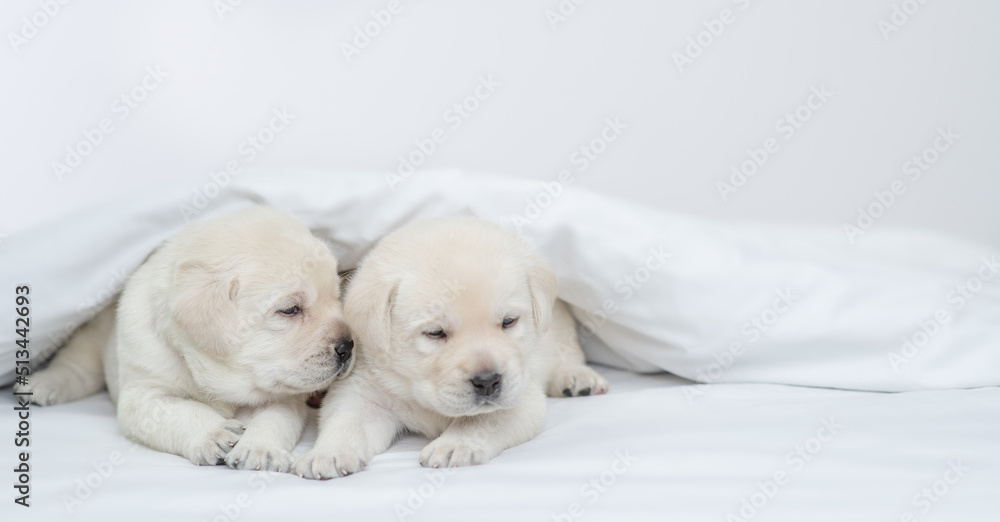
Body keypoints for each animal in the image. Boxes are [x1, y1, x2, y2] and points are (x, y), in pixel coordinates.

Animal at [16, 205, 356, 470]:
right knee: (77, 365)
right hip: (94, 335)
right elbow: (183, 412)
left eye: (338, 298)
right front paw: (215, 433)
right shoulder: (144, 396)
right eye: (289, 309)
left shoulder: (284, 396)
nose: (349, 346)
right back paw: (45, 383)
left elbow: (274, 418)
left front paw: (261, 448)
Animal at [294, 213, 608, 478]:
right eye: (435, 333)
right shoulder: (364, 390)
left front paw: (455, 444)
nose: (488, 381)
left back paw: (577, 377)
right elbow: (346, 420)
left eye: (509, 321)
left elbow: (484, 419)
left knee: (568, 354)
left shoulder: (521, 394)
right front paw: (328, 453)